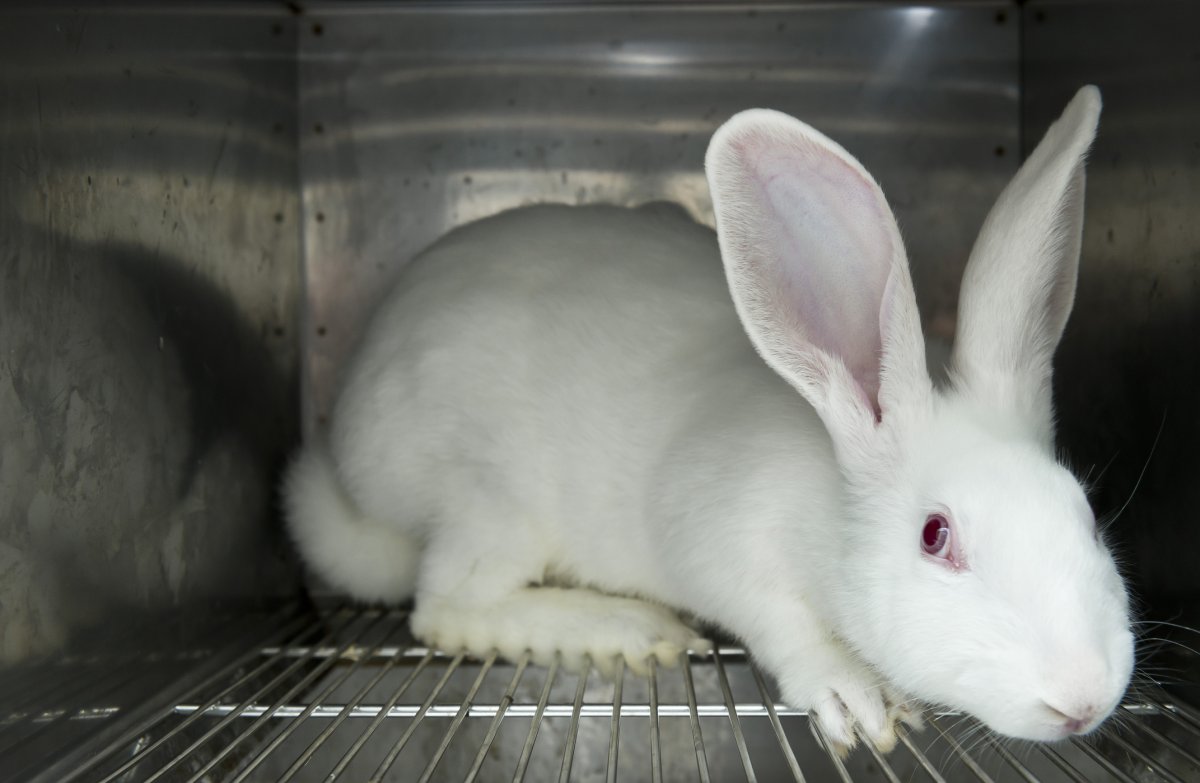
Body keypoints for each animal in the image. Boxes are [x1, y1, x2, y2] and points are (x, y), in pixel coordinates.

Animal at [285, 85, 1133, 754]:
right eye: (935, 535)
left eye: (1087, 512)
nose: (1082, 700)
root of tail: (347, 451)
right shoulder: (722, 540)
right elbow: (785, 625)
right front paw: (856, 696)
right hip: (490, 502)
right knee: (445, 605)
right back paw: (628, 628)